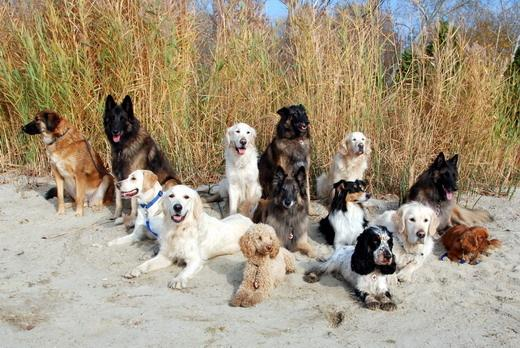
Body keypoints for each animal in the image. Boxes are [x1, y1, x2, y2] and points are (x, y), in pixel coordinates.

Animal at [124, 185, 254, 288]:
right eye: (171, 196)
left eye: (186, 197)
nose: (177, 207)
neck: (179, 230)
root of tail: (248, 219)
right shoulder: (165, 256)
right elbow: (148, 264)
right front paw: (136, 269)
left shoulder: (195, 260)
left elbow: (185, 271)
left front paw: (178, 280)